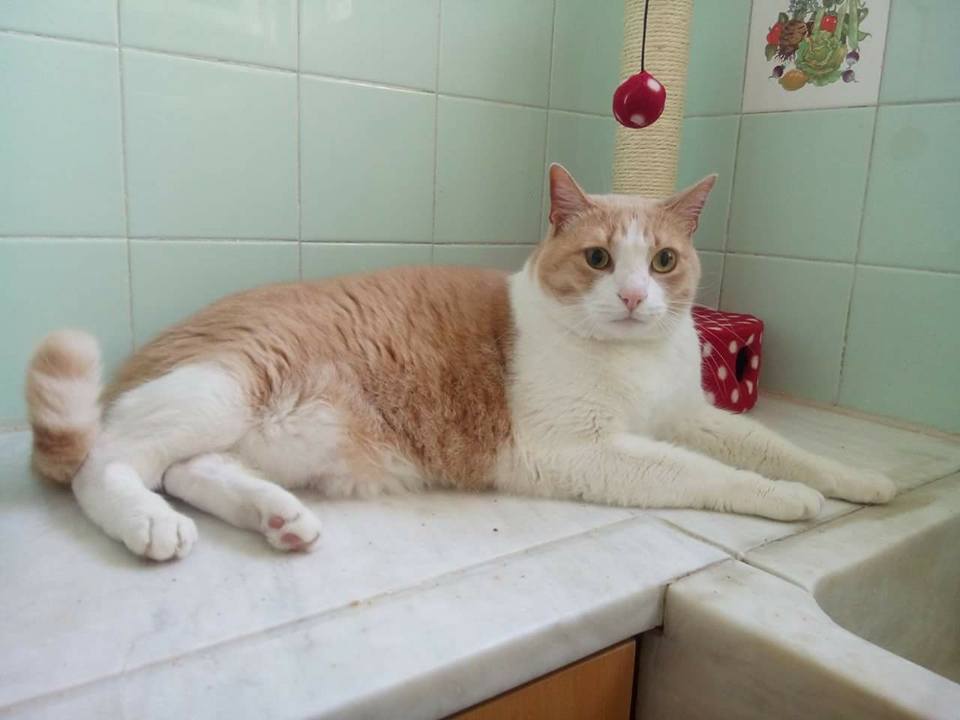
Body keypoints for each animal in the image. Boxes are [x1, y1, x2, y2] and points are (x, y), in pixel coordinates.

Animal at [25, 165, 896, 561]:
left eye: (666, 261)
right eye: (598, 259)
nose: (635, 296)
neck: (632, 362)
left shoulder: (690, 415)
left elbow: (775, 446)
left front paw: (861, 482)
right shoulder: (576, 450)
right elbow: (713, 475)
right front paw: (789, 500)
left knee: (191, 469)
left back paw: (279, 518)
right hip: (222, 387)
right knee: (105, 464)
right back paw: (149, 523)